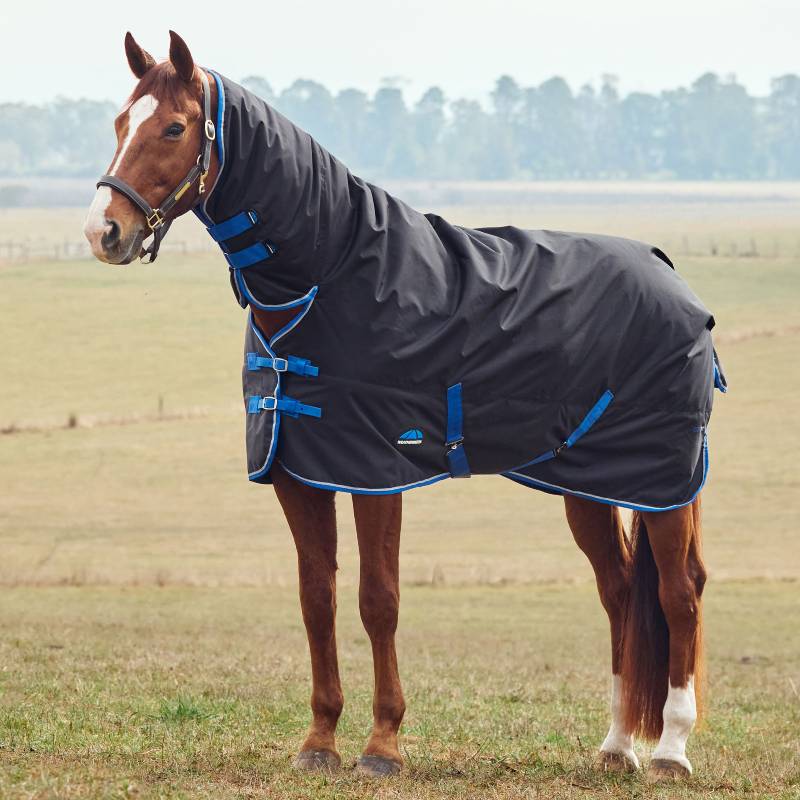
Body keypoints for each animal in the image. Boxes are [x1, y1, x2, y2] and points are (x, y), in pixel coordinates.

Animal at [84, 31, 721, 783]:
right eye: (119, 123)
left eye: (175, 128)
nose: (104, 231)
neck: (327, 276)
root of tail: (668, 271)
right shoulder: (299, 473)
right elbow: (317, 599)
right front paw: (320, 741)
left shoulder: (376, 472)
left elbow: (377, 600)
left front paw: (383, 744)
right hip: (590, 486)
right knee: (620, 592)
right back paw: (618, 746)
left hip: (663, 484)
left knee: (679, 593)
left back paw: (671, 752)